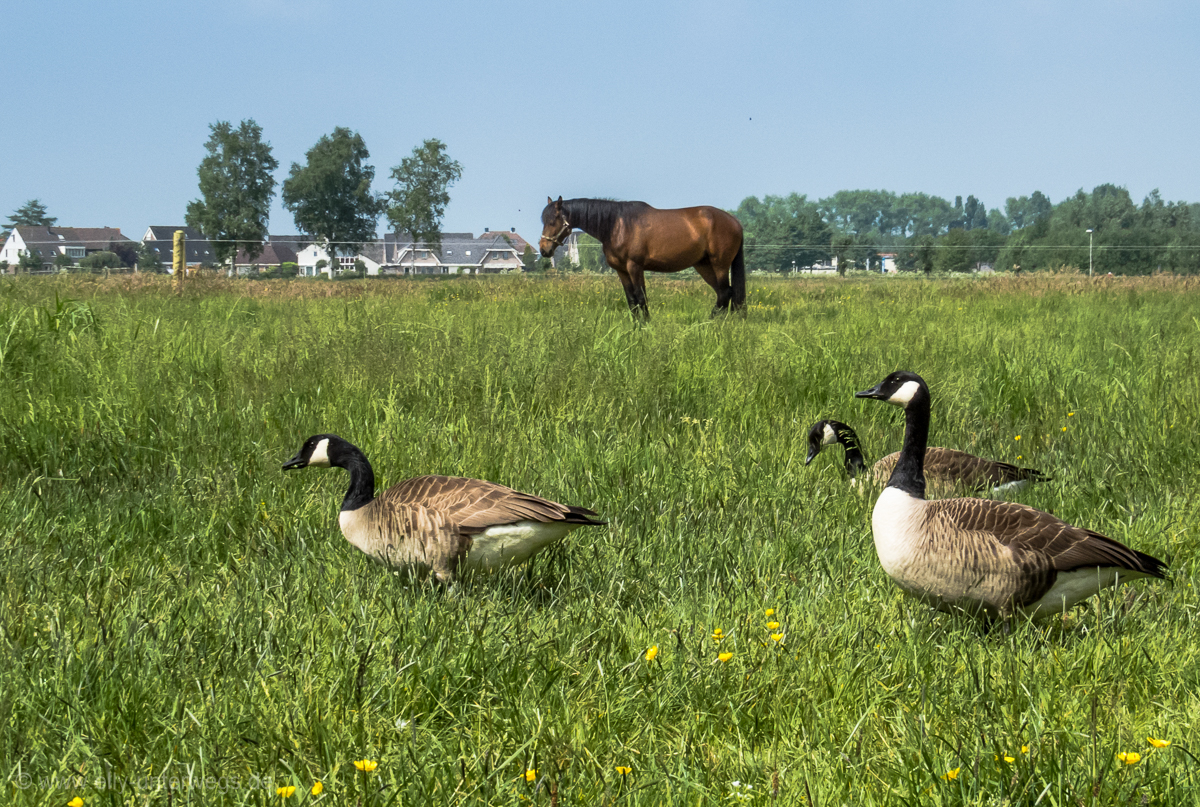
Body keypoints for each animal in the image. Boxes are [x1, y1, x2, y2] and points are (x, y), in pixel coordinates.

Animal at [537, 196, 739, 319]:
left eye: (552, 221)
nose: (544, 249)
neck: (617, 225)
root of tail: (735, 222)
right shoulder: (622, 271)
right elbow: (632, 301)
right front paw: (636, 329)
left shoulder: (635, 267)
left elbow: (641, 298)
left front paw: (647, 328)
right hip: (703, 266)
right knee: (724, 293)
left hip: (720, 265)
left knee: (725, 293)